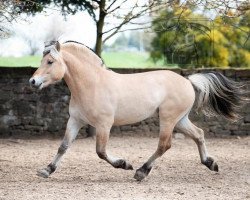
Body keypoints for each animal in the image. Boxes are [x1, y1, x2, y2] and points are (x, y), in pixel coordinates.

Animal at [29, 40, 244, 181]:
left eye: (50, 62)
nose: (32, 81)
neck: (92, 84)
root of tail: (188, 81)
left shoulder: (104, 125)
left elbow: (101, 151)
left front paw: (124, 164)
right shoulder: (75, 121)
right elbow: (63, 146)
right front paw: (46, 170)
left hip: (168, 119)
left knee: (164, 145)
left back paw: (141, 171)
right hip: (180, 120)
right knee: (199, 134)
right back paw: (211, 163)